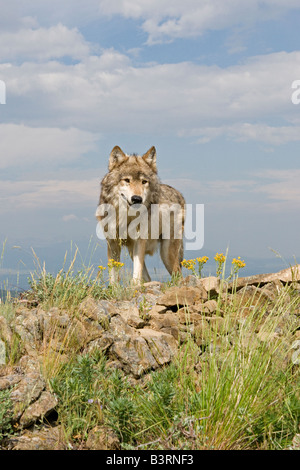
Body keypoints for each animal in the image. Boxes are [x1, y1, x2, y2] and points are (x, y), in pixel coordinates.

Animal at [96, 145, 185, 282]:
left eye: (144, 182)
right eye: (127, 180)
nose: (137, 199)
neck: (126, 216)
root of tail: (179, 194)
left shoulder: (139, 241)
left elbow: (136, 272)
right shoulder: (112, 243)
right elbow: (114, 276)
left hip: (167, 254)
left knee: (178, 275)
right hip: (133, 251)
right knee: (148, 278)